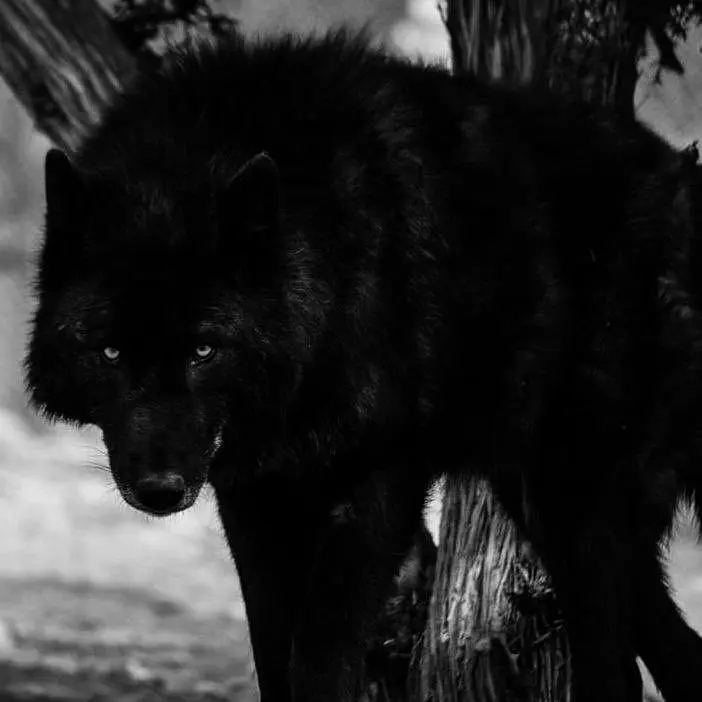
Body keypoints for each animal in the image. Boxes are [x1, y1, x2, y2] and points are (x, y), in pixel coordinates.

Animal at [25, 29, 702, 701]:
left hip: (578, 508)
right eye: (110, 351)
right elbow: (273, 656)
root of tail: (680, 174)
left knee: (620, 670)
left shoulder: (378, 478)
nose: (160, 490)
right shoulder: (255, 495)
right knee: (674, 654)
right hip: (546, 508)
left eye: (203, 350)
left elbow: (319, 662)